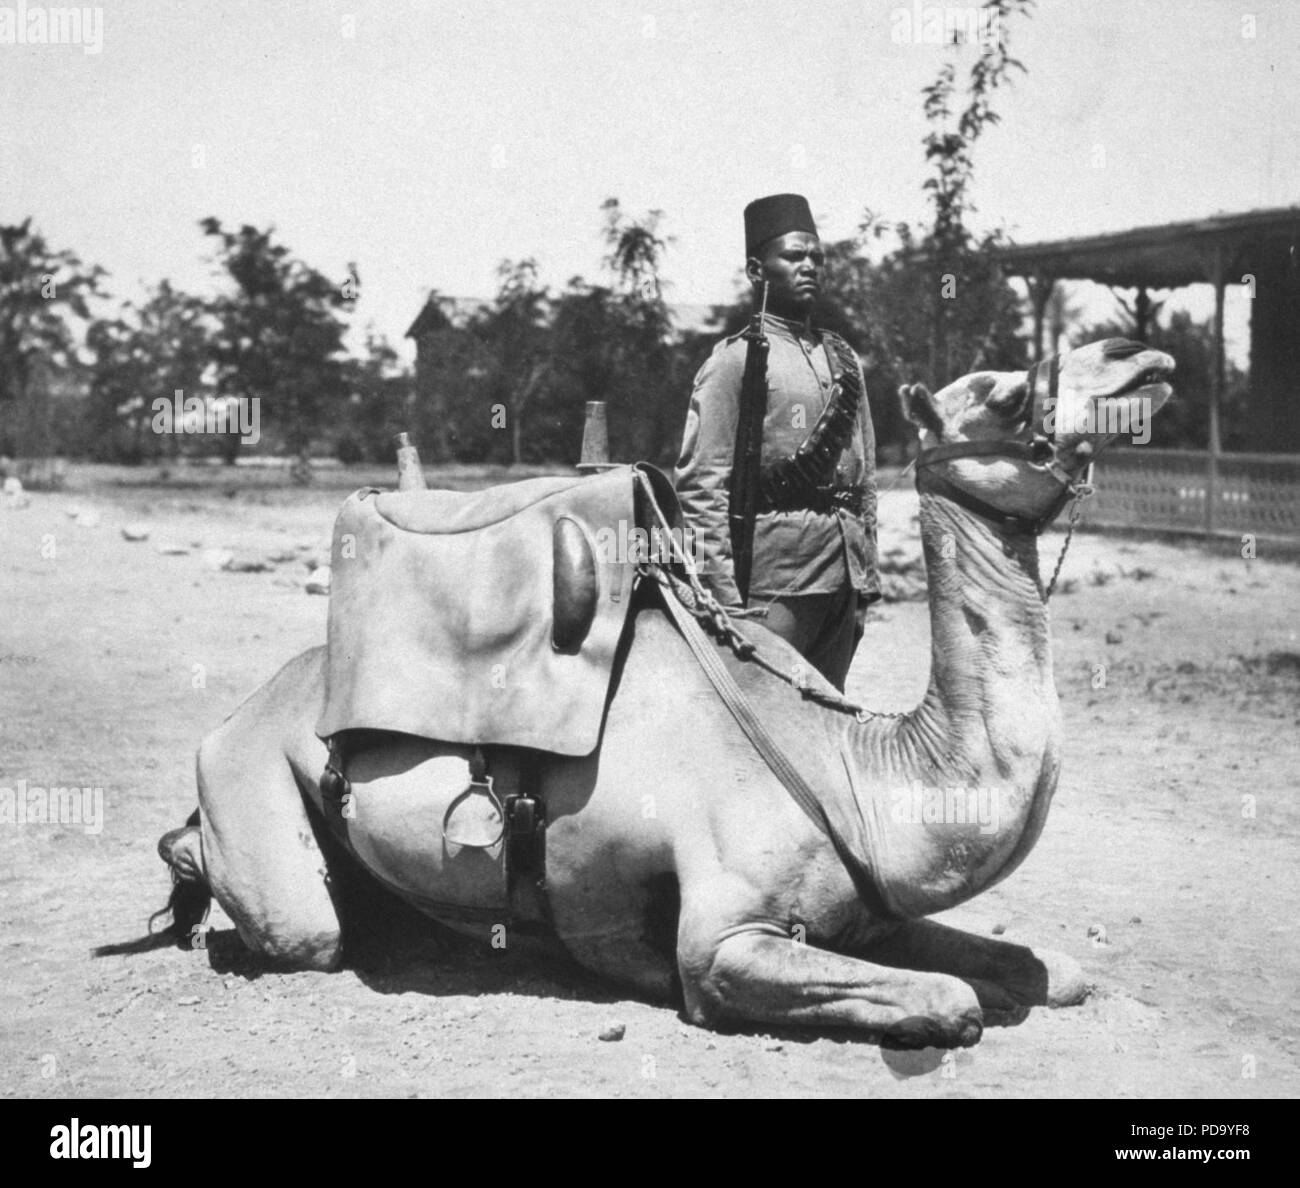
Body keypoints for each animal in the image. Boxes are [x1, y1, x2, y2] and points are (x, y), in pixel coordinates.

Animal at [157, 337, 1175, 1039]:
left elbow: (1050, 971)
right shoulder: (725, 942)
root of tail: (236, 715)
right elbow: (955, 1000)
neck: (855, 770)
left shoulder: (874, 920)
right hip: (254, 787)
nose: (1145, 358)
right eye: (1006, 394)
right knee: (302, 929)